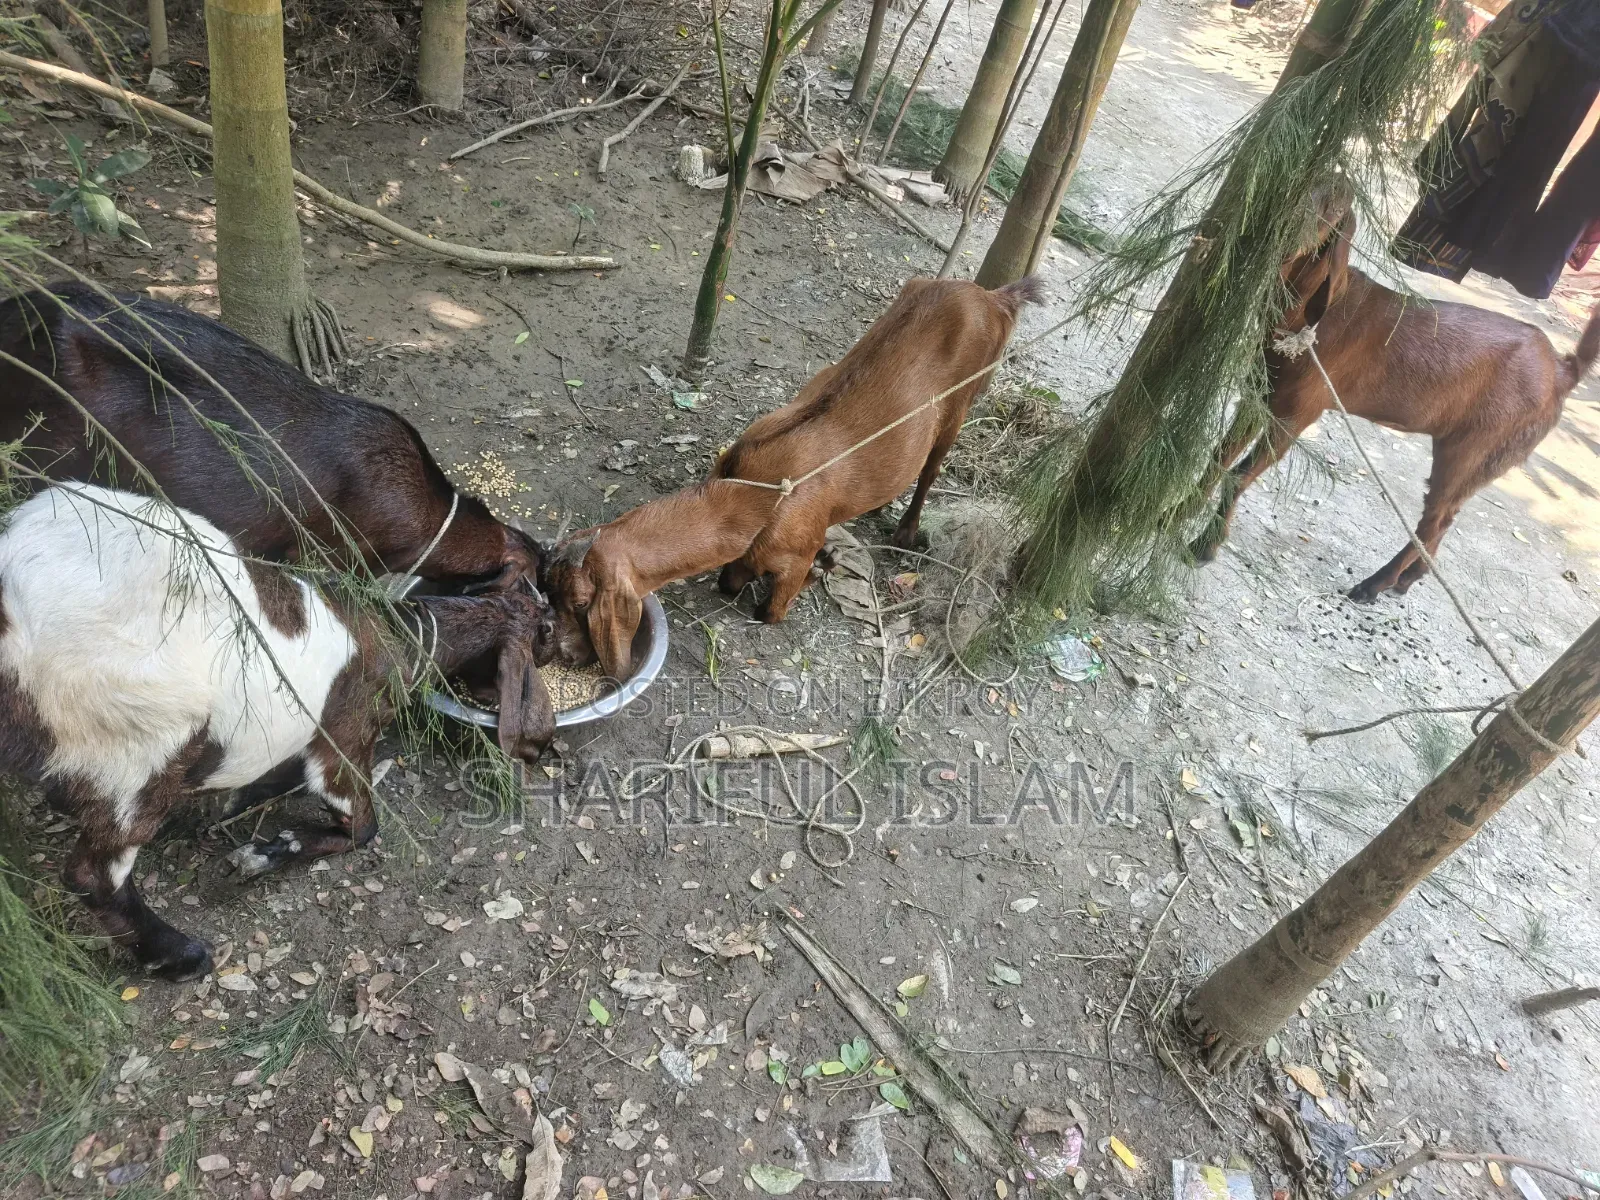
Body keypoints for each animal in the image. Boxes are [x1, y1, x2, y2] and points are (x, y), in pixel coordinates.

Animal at [0, 485, 556, 980]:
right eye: (542, 635)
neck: (404, 640)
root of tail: (14, 607)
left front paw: (242, 806)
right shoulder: (345, 738)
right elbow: (363, 827)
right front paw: (263, 854)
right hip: (141, 748)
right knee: (94, 874)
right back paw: (180, 957)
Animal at [546, 276, 1042, 675]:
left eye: (582, 603)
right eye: (550, 593)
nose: (567, 657)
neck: (757, 491)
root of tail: (992, 297)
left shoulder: (795, 548)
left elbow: (771, 612)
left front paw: (825, 565)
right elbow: (729, 580)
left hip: (963, 401)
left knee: (931, 468)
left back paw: (905, 532)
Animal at [1192, 211, 1600, 601]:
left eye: (1327, 215)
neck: (1309, 316)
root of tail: (1562, 370)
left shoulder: (1298, 412)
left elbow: (1241, 474)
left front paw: (1205, 546)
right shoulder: (1261, 395)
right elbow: (1221, 456)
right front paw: (1182, 509)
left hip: (1478, 446)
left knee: (1435, 520)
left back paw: (1375, 584)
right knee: (1445, 518)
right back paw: (1408, 579)